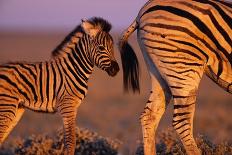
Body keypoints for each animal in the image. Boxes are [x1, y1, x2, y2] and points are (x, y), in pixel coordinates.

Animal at [0, 17, 118, 155]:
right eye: (101, 47)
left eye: (113, 47)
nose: (116, 70)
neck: (74, 69)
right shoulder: (67, 105)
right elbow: (71, 142)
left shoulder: (72, 107)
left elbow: (67, 141)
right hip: (6, 107)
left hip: (17, 109)